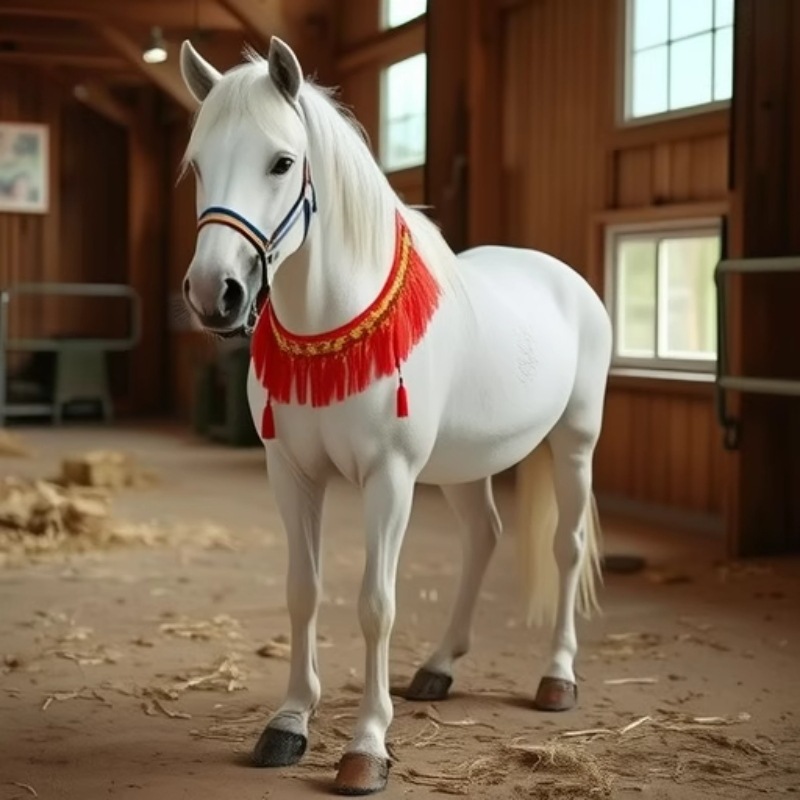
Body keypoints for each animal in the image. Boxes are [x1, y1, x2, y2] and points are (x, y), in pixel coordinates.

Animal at [178, 36, 612, 795]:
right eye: (199, 163)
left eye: (281, 162)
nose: (215, 293)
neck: (332, 328)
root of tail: (568, 279)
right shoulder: (292, 474)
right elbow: (303, 591)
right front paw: (289, 722)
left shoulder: (390, 478)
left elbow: (375, 605)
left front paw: (366, 748)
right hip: (467, 465)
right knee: (484, 537)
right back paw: (439, 667)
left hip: (574, 445)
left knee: (567, 546)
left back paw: (557, 676)